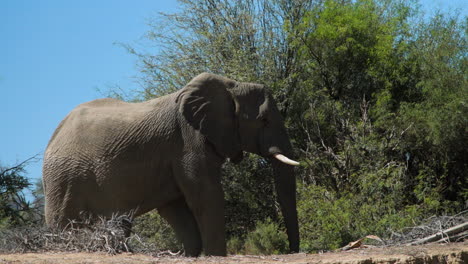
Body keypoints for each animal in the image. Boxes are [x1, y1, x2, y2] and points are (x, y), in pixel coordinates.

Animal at [44, 72, 300, 256]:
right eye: (264, 121)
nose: (292, 251)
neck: (231, 87)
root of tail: (53, 136)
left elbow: (176, 208)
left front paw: (193, 255)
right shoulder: (187, 142)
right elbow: (207, 196)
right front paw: (216, 255)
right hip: (64, 178)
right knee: (63, 222)